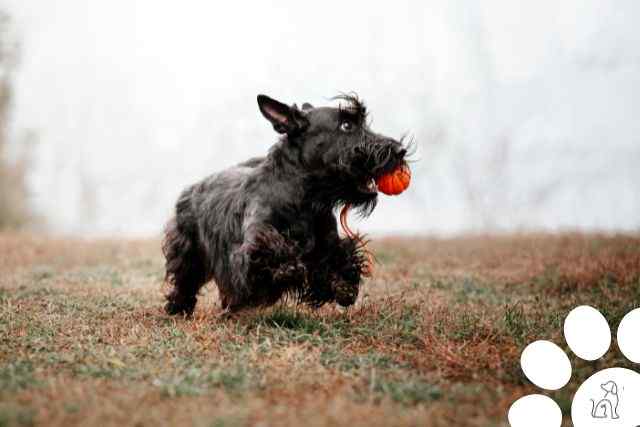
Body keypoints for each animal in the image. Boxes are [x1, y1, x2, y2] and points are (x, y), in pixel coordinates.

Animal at [162, 94, 408, 314]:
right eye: (346, 125)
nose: (400, 150)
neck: (306, 198)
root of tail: (193, 187)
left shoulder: (329, 244)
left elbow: (340, 258)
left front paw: (344, 288)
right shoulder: (252, 244)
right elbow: (273, 249)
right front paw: (288, 268)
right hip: (188, 249)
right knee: (185, 281)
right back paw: (179, 307)